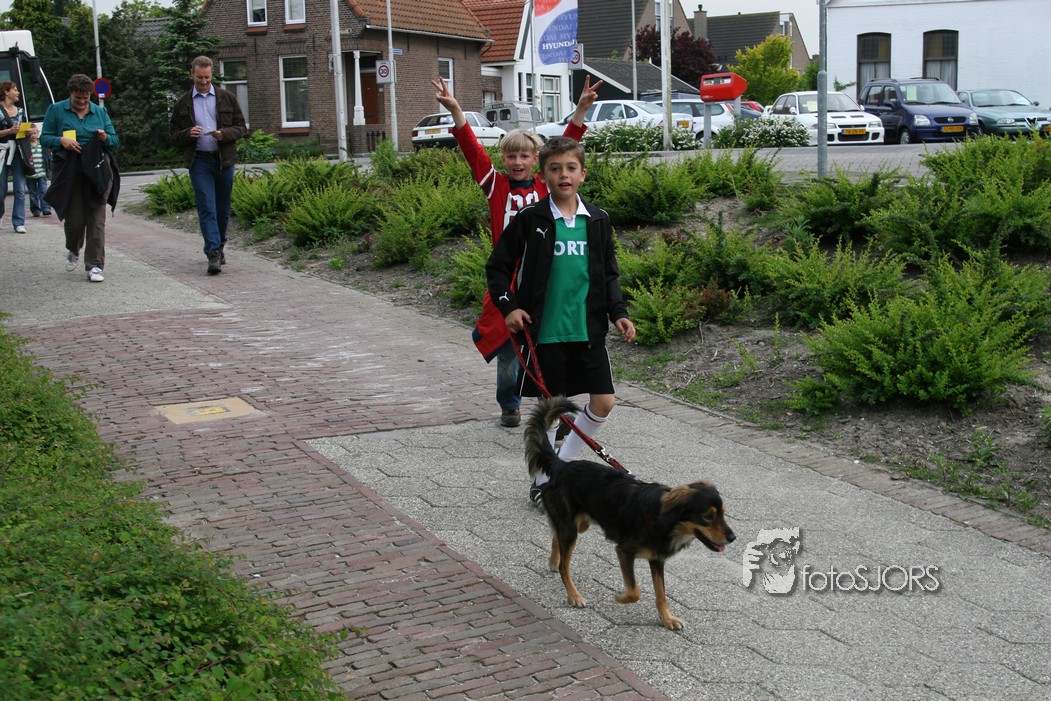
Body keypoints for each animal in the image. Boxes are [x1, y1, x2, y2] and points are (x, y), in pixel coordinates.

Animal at [525, 396, 735, 630]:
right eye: (708, 516)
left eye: (723, 514)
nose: (733, 537)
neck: (663, 520)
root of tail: (561, 466)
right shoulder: (624, 550)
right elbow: (635, 591)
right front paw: (620, 597)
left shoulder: (657, 559)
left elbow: (661, 594)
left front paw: (667, 618)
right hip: (572, 529)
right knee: (565, 565)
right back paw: (573, 595)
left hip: (579, 524)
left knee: (557, 536)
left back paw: (554, 560)